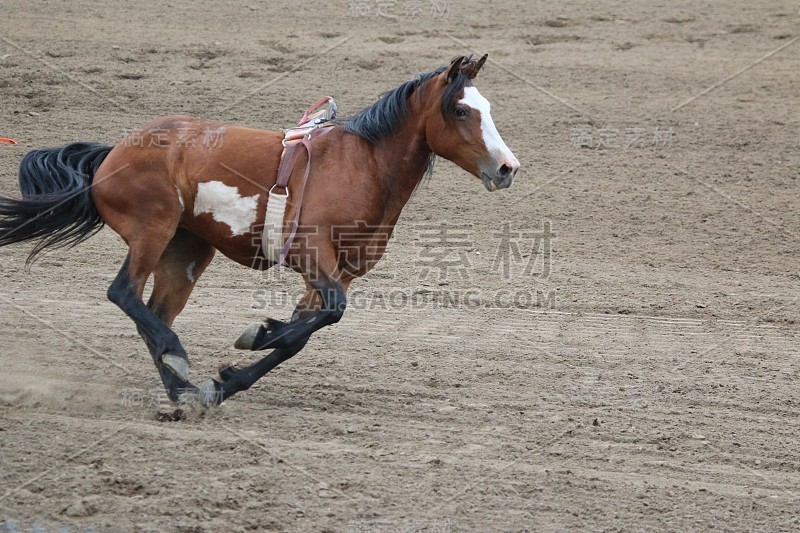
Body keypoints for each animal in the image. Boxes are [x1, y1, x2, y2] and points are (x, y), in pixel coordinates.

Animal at [0, 53, 520, 404]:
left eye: (490, 107)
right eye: (461, 110)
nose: (507, 168)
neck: (362, 166)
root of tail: (113, 154)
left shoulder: (339, 273)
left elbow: (301, 332)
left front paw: (233, 371)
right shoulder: (313, 257)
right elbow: (327, 315)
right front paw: (250, 342)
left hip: (187, 252)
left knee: (155, 313)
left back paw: (181, 389)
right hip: (153, 230)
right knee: (123, 293)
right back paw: (177, 361)